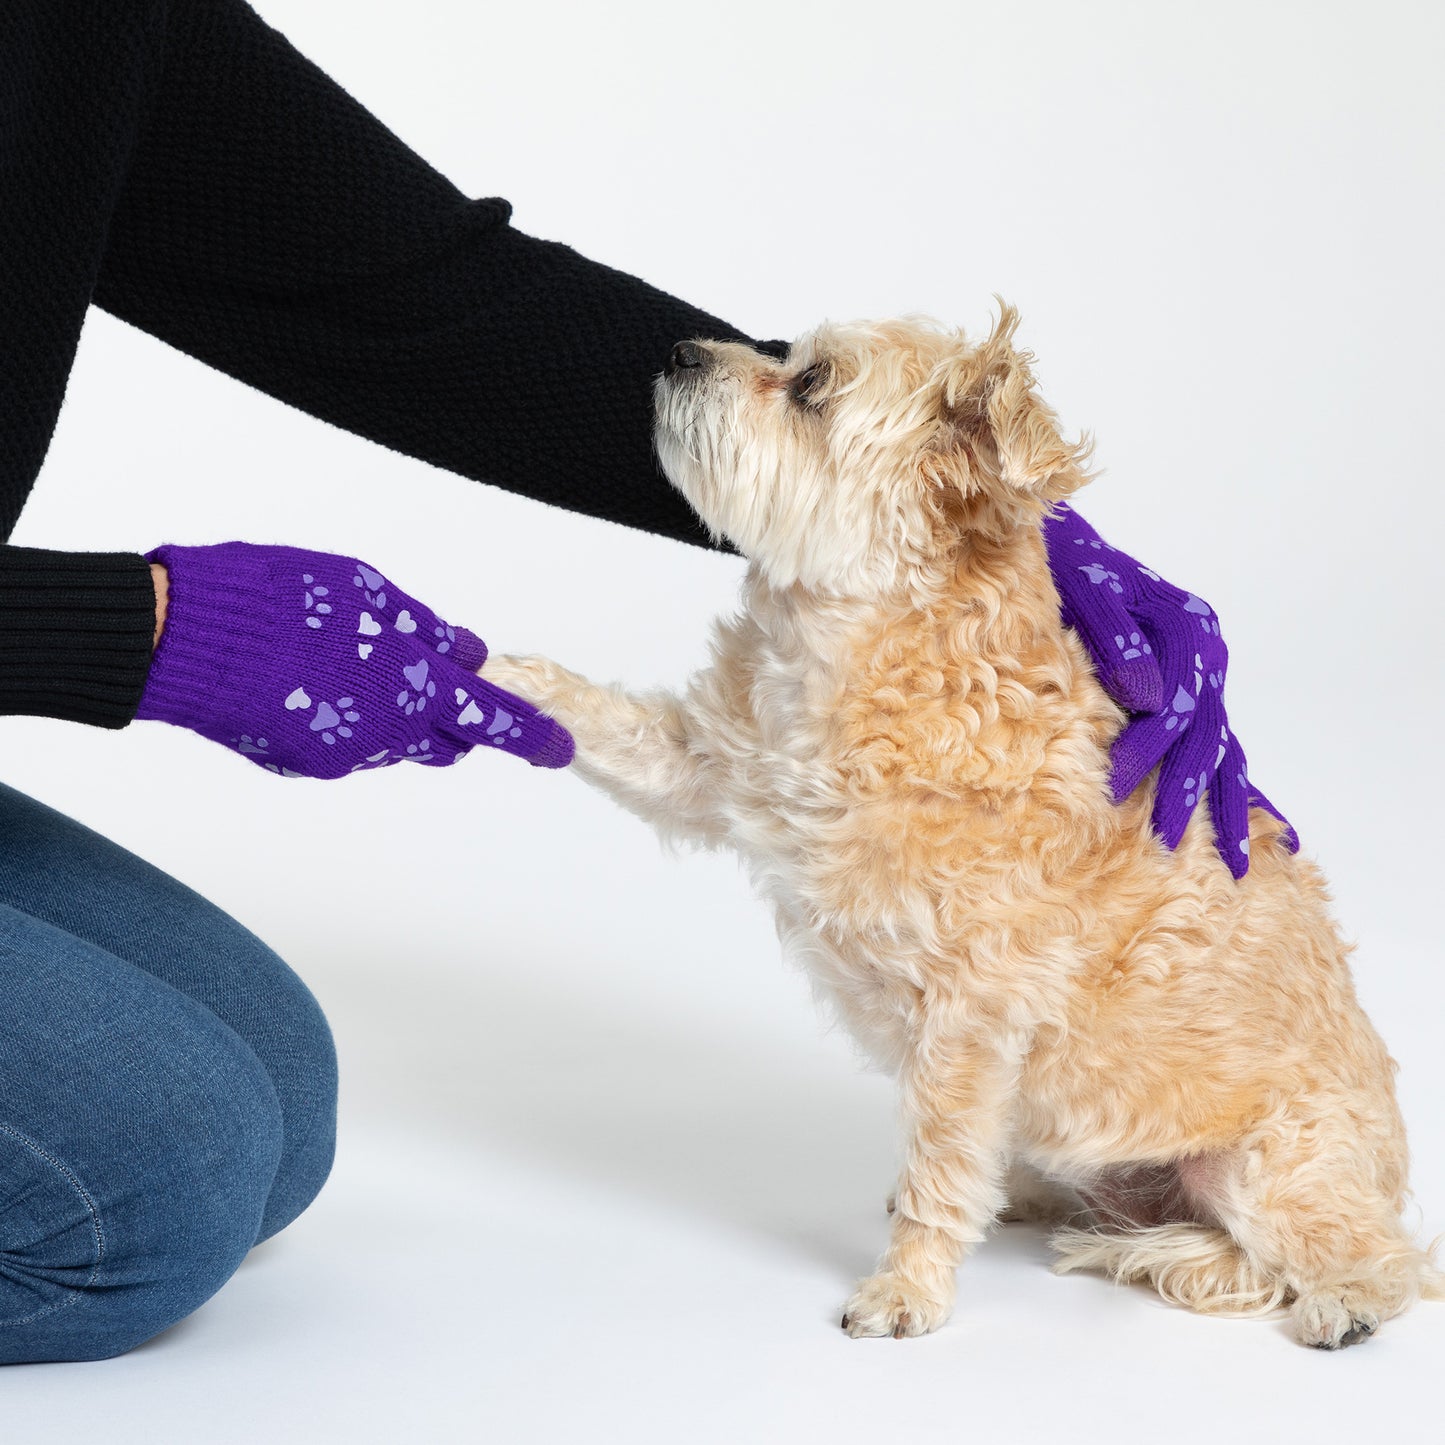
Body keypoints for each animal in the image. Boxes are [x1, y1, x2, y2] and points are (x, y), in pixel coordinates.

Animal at [482, 310, 1433, 1346]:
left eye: (810, 386)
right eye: (780, 348)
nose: (681, 349)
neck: (851, 651)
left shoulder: (970, 1013)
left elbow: (938, 1166)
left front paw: (907, 1287)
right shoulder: (705, 765)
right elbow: (595, 718)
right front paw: (469, 668)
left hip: (1266, 1169)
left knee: (1379, 1260)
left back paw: (1339, 1301)